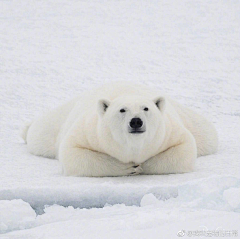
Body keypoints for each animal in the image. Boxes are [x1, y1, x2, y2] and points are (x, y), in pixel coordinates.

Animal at [22, 83, 218, 176]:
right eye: (122, 110)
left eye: (146, 108)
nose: (136, 122)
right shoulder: (90, 131)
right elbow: (72, 153)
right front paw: (127, 168)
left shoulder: (169, 131)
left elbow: (184, 149)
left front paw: (142, 165)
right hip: (58, 121)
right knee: (39, 134)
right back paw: (26, 129)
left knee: (208, 134)